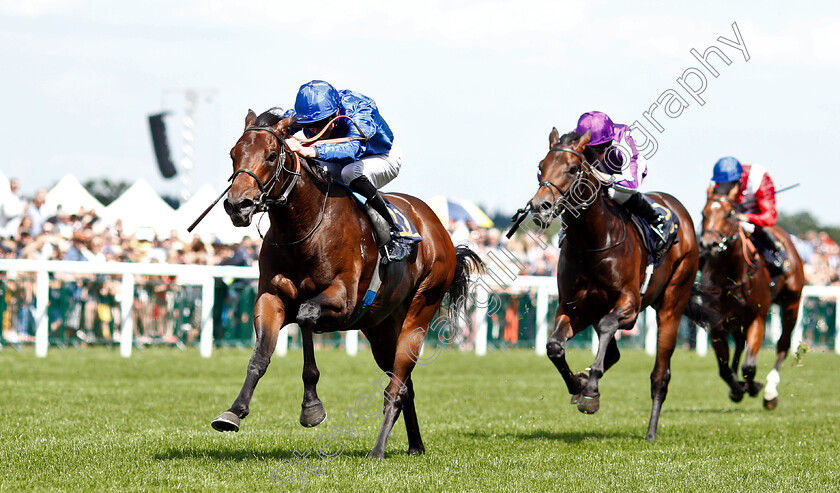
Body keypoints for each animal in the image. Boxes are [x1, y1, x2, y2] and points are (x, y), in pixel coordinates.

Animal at [210, 107, 482, 458]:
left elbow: (306, 316)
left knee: (396, 386)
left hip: (420, 311)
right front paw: (234, 411)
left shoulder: (343, 300)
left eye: (271, 156)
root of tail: (438, 228)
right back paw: (415, 445)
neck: (304, 229)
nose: (237, 204)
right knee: (404, 384)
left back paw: (378, 450)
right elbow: (260, 355)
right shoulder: (271, 298)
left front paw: (311, 408)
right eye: (234, 154)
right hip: (380, 328)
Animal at [528, 129, 700, 440]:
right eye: (540, 167)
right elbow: (554, 346)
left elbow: (610, 326)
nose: (540, 206)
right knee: (615, 353)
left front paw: (590, 391)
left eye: (572, 168)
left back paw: (651, 432)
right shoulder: (575, 307)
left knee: (660, 375)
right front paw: (578, 384)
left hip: (672, 302)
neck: (592, 243)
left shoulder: (629, 305)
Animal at [696, 184, 808, 408]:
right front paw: (737, 389)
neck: (731, 275)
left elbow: (749, 366)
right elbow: (724, 368)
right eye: (703, 213)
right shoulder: (716, 322)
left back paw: (770, 392)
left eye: (729, 214)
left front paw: (754, 386)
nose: (709, 244)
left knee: (783, 344)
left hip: (791, 303)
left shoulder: (758, 317)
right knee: (740, 344)